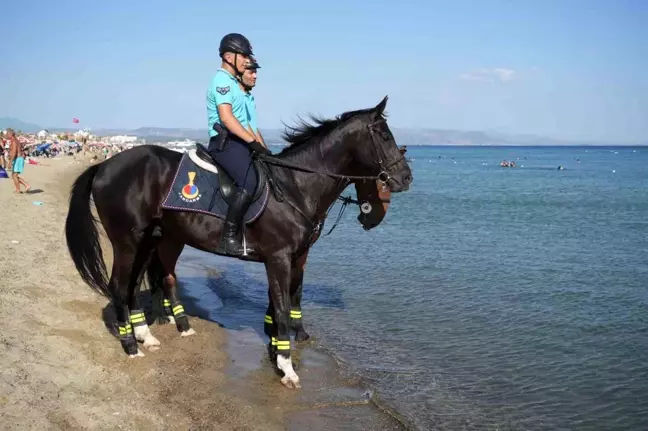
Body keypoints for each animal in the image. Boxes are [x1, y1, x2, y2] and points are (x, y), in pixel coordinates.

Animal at [64, 96, 410, 390]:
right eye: (383, 134)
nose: (406, 177)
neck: (296, 186)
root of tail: (104, 165)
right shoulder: (278, 258)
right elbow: (282, 307)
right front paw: (287, 367)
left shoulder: (294, 257)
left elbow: (284, 300)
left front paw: (277, 350)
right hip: (128, 240)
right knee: (120, 285)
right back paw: (130, 345)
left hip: (154, 239)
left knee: (139, 283)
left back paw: (148, 335)